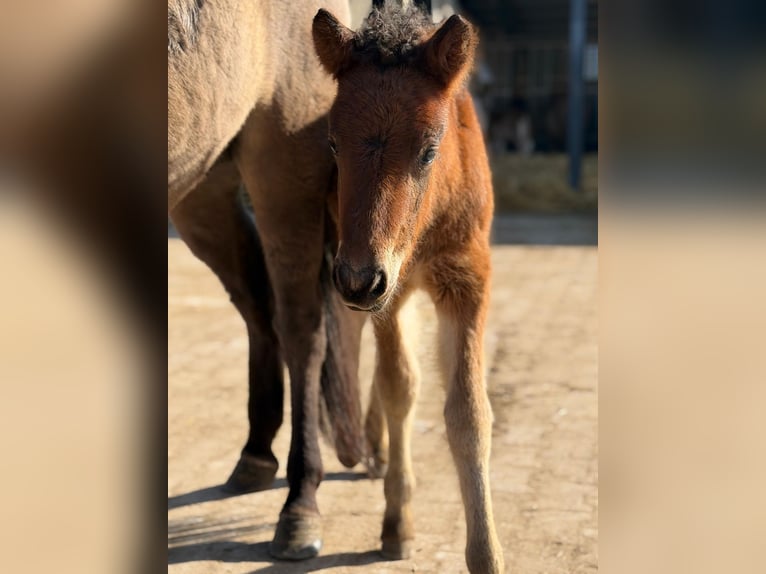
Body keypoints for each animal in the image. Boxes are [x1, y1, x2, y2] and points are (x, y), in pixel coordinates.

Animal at [168, 0, 368, 559]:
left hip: (284, 168)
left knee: (301, 329)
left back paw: (300, 506)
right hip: (201, 179)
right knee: (257, 303)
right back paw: (257, 455)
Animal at [312, 1, 505, 572]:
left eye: (428, 150)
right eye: (333, 143)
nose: (357, 279)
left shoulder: (468, 280)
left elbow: (469, 413)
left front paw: (487, 553)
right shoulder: (387, 292)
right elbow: (401, 386)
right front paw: (397, 524)